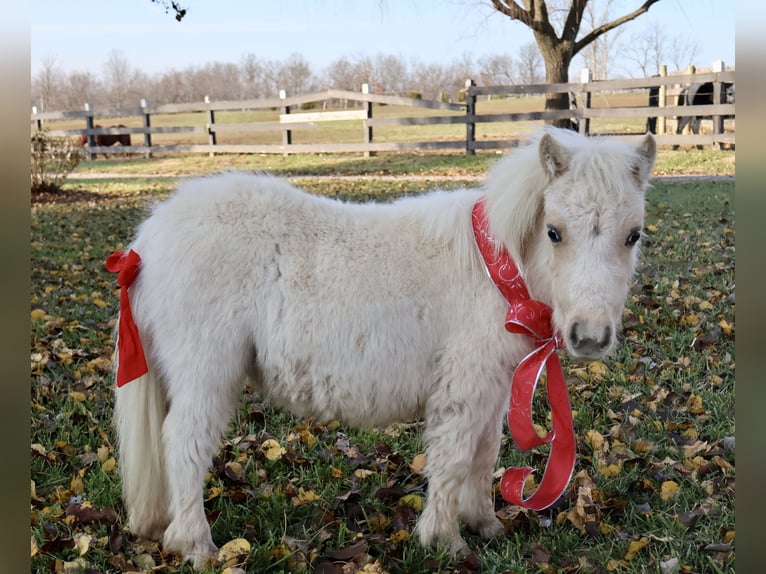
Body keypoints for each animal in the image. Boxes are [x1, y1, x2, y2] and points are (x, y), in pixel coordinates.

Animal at [117, 128, 656, 568]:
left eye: (633, 235)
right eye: (554, 231)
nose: (589, 337)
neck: (492, 269)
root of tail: (147, 242)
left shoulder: (494, 389)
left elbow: (484, 454)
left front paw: (485, 525)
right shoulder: (465, 389)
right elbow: (454, 458)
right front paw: (445, 542)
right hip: (205, 374)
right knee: (185, 444)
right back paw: (197, 545)